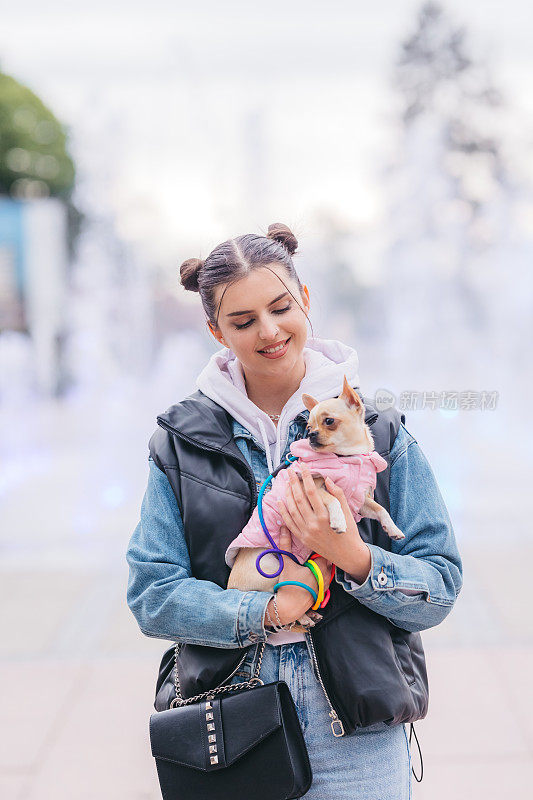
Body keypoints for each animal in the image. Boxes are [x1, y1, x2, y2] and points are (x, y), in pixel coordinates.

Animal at [224, 376, 404, 632]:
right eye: (308, 427)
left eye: (329, 421)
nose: (310, 435)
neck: (346, 458)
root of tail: (232, 588)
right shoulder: (314, 489)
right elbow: (332, 498)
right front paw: (338, 521)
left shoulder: (361, 502)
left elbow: (381, 509)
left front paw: (393, 528)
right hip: (270, 567)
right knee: (277, 599)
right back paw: (304, 617)